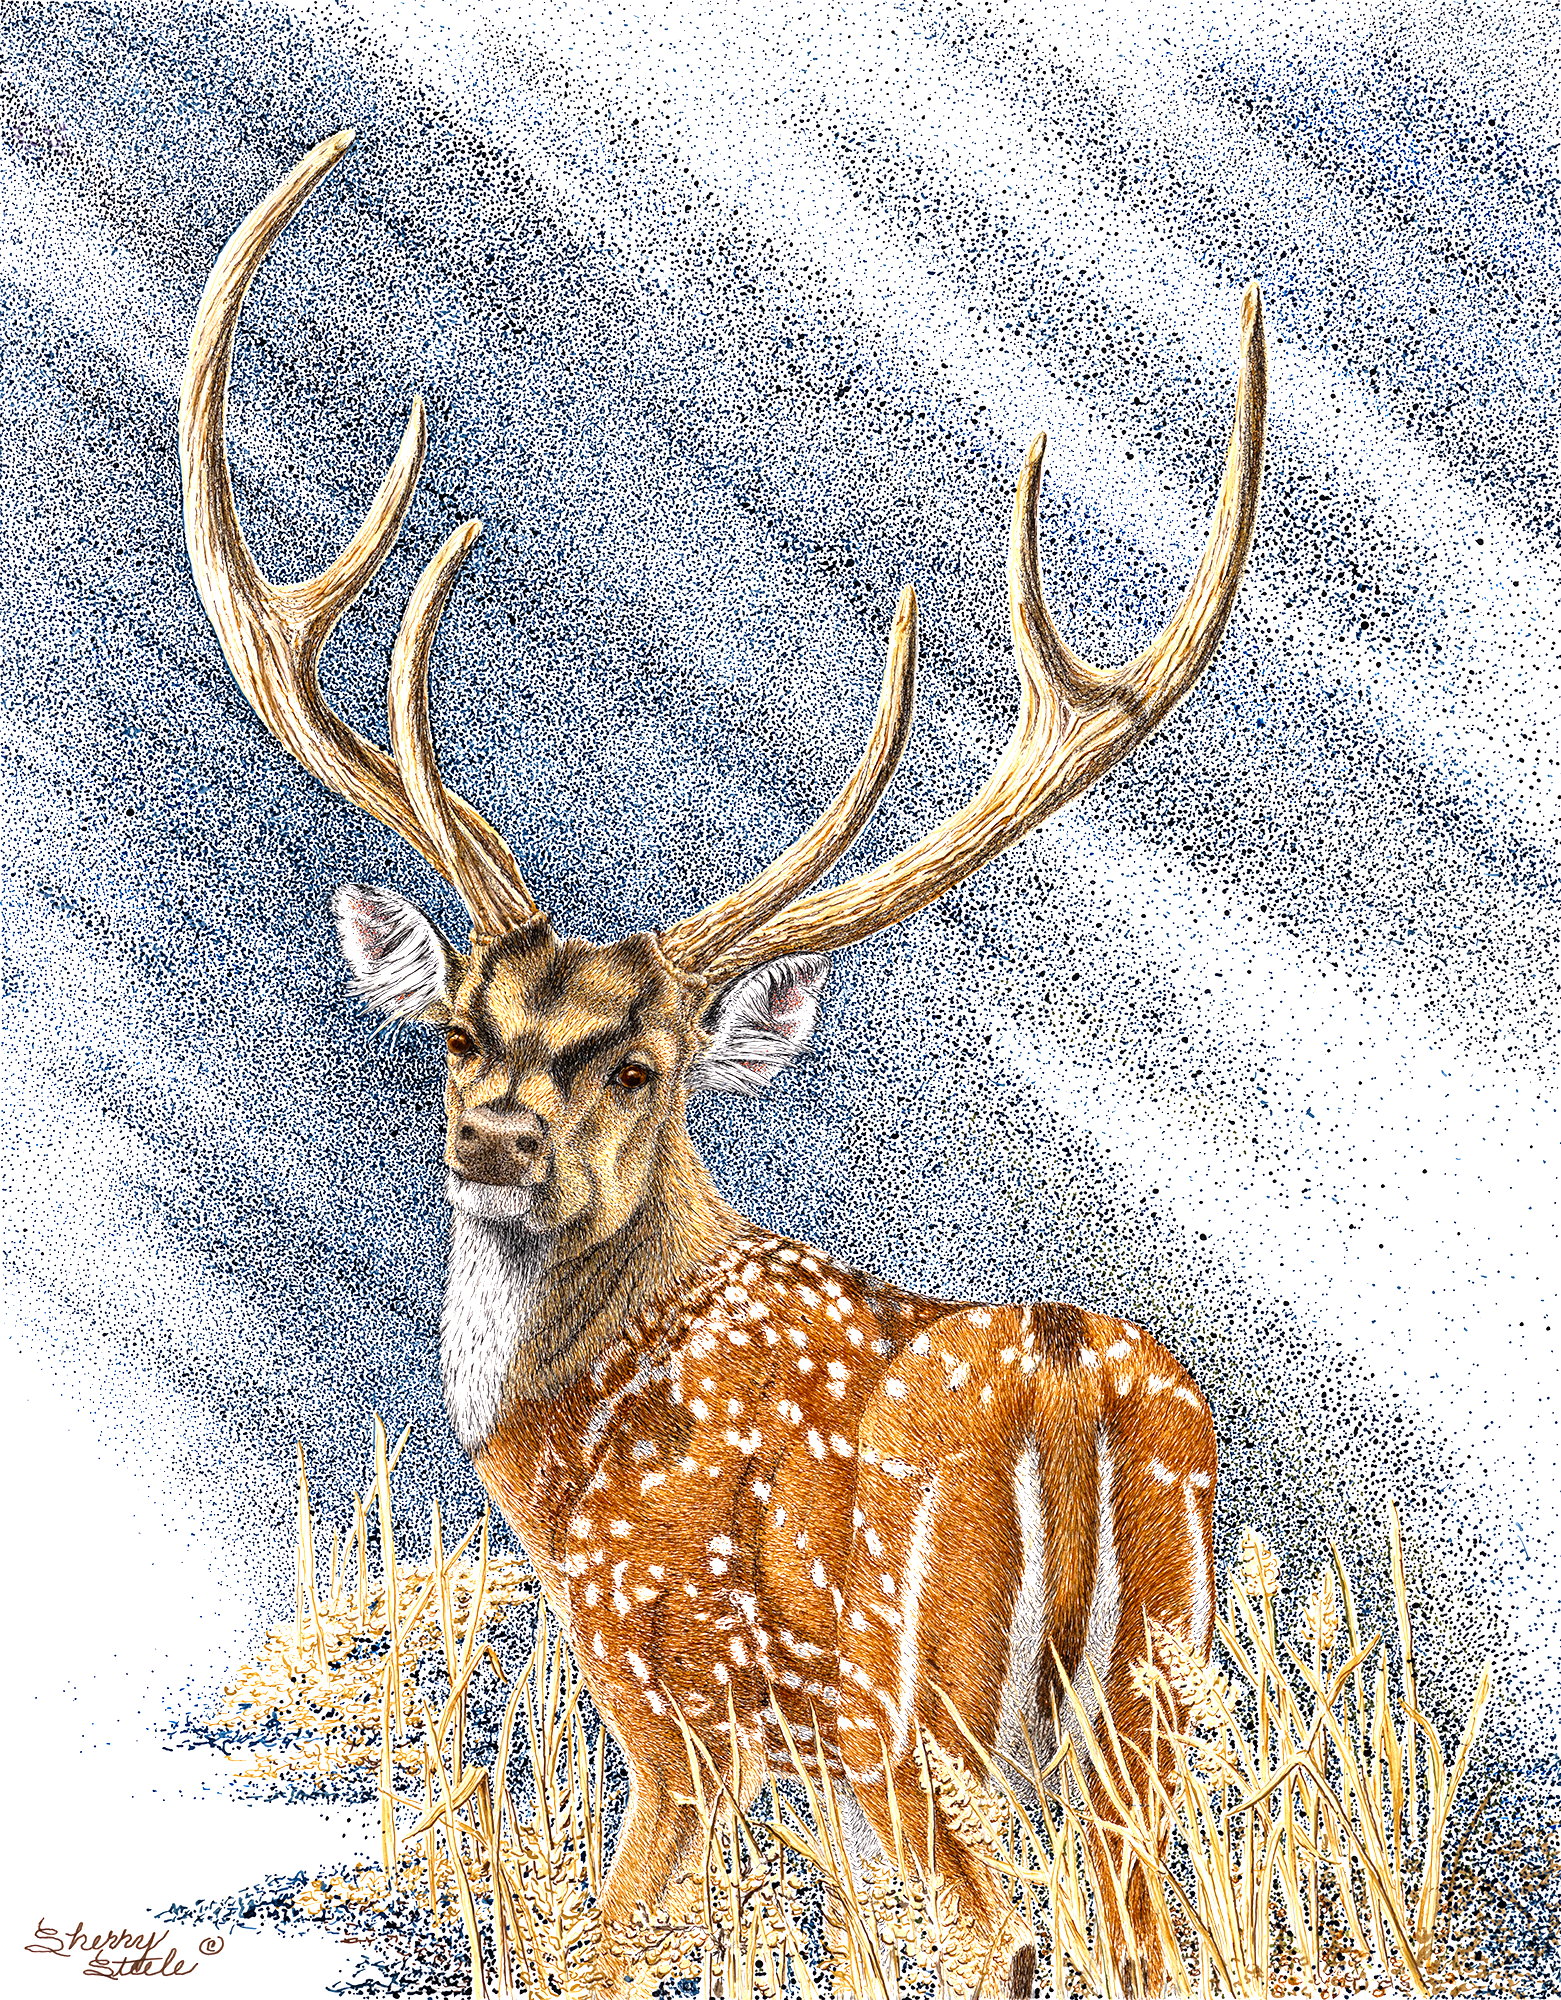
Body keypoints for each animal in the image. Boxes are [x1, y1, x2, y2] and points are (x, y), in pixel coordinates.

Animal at [180, 132, 1265, 1998]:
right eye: (459, 1030)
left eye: (641, 1067)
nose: (494, 1140)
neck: (557, 1445)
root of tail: (1074, 1386)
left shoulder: (669, 1695)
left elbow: (610, 1942)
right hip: (1143, 1709)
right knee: (1153, 1941)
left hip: (910, 1718)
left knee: (1001, 1938)